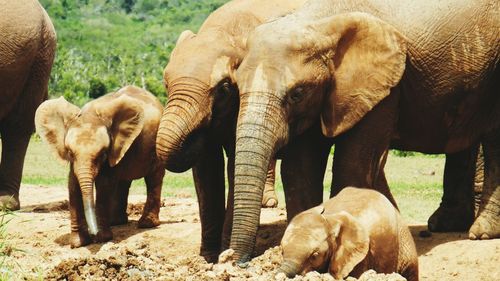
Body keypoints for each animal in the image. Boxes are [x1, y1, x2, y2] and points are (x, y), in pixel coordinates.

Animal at [35, 86, 164, 247]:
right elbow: (73, 185)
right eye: (70, 152)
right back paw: (117, 222)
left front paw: (102, 238)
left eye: (102, 153)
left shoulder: (113, 149)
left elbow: (104, 184)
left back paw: (146, 224)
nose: (93, 233)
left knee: (154, 179)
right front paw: (79, 243)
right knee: (124, 183)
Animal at [154, 0, 306, 262]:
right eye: (166, 82)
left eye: (224, 88)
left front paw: (226, 255)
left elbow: (235, 164)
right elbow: (207, 168)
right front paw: (206, 259)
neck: (227, 31)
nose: (191, 139)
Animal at [230, 0, 500, 262]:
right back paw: (446, 225)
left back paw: (481, 233)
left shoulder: (384, 85)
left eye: (297, 94)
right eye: (236, 88)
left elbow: (353, 164)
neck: (319, 23)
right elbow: (300, 168)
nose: (236, 260)